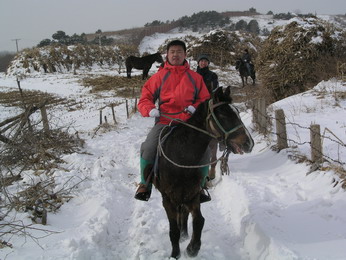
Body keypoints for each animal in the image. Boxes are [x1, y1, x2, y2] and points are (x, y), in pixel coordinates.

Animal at [149, 87, 254, 258]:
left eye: (237, 112)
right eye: (223, 114)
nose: (249, 143)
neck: (182, 156)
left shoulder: (193, 194)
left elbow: (199, 220)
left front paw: (192, 248)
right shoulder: (168, 199)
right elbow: (173, 229)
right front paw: (175, 254)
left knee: (184, 213)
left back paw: (185, 235)